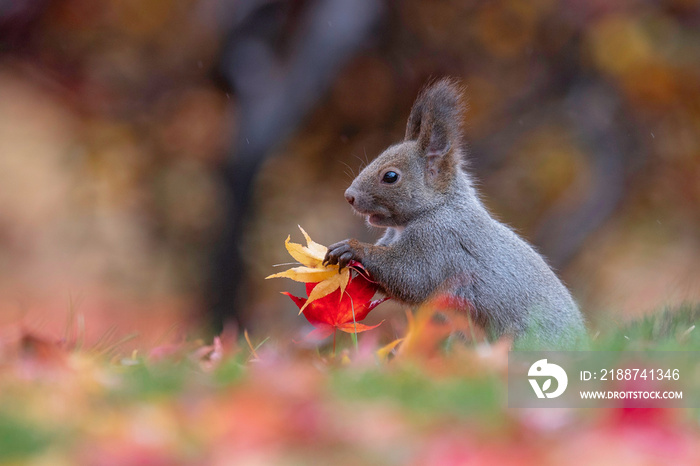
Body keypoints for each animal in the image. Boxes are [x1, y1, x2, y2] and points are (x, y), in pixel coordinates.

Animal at [326, 78, 588, 348]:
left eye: (390, 176)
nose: (349, 196)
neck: (438, 207)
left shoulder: (439, 242)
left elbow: (410, 277)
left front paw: (353, 248)